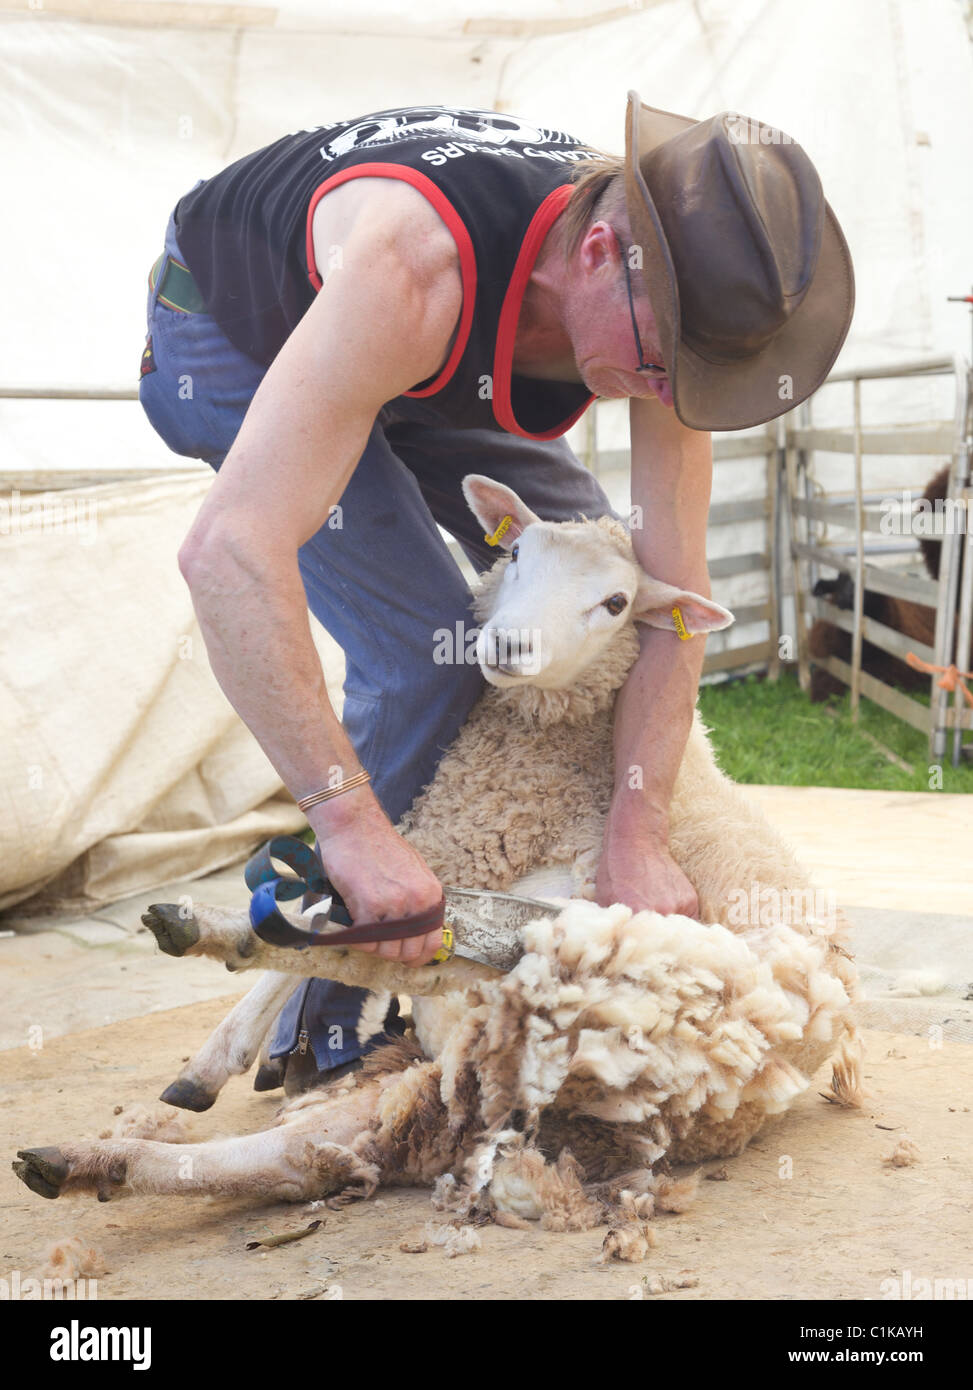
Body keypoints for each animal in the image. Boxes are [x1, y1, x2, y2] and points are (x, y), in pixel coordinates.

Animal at [15, 475, 856, 1228]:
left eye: (616, 604)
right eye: (513, 554)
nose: (509, 644)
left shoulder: (504, 867)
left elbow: (349, 912)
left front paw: (232, 1007)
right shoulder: (437, 843)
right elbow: (331, 895)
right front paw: (215, 1058)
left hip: (590, 965)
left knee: (431, 954)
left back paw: (212, 937)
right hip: (461, 1078)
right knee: (308, 1150)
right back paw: (89, 1161)